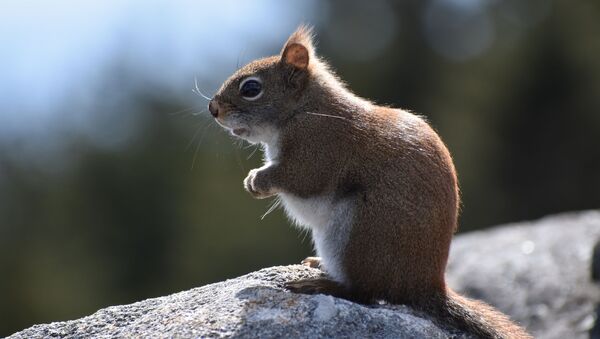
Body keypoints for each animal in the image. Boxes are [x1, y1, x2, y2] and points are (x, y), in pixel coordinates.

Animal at [207, 26, 528, 339]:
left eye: (251, 88)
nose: (213, 108)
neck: (304, 109)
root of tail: (423, 286)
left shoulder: (319, 146)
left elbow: (301, 177)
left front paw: (256, 180)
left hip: (357, 232)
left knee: (364, 292)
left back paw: (320, 284)